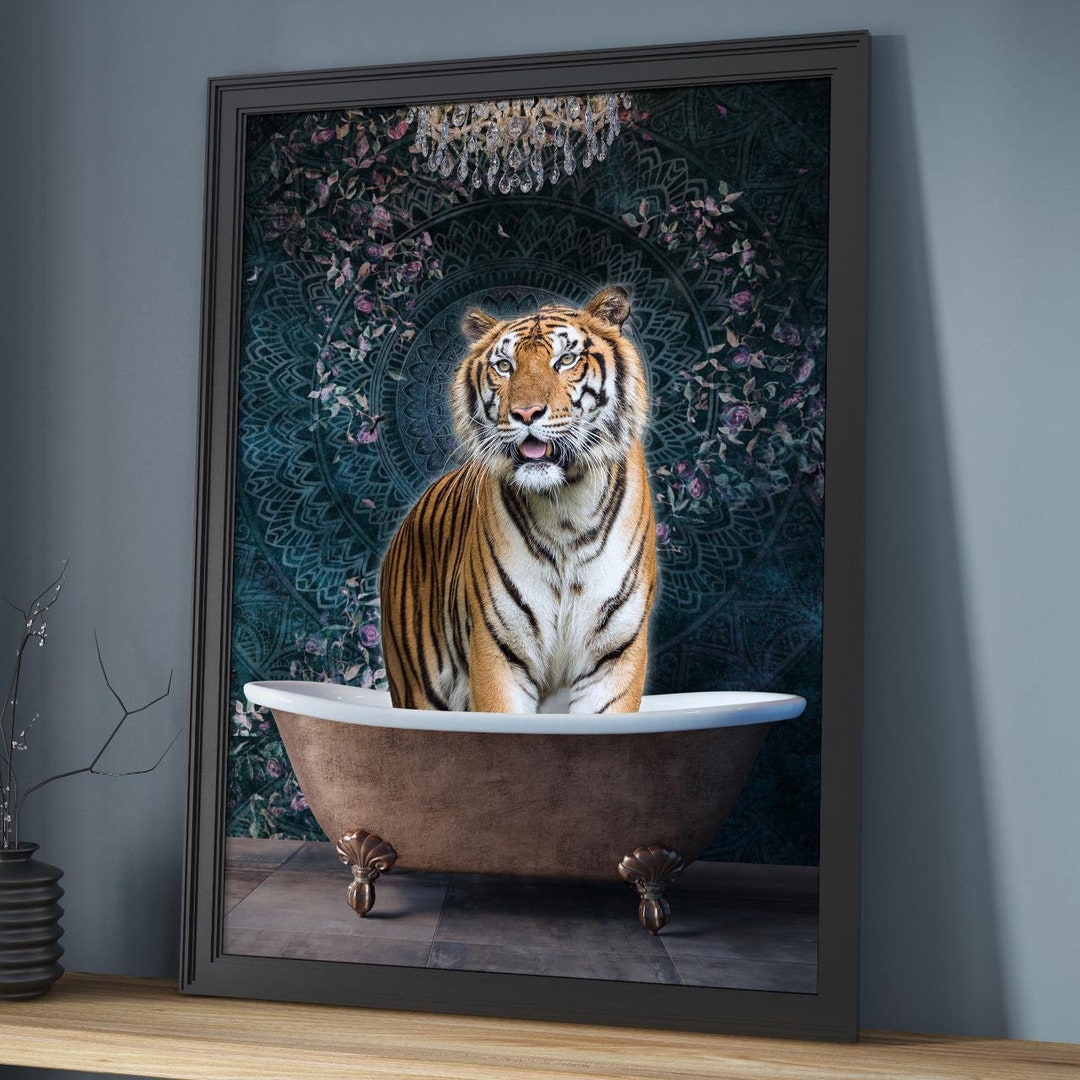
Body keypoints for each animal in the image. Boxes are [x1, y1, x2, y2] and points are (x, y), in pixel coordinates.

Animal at [379, 285, 657, 715]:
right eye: (505, 365)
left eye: (566, 359)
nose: (525, 413)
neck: (565, 508)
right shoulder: (498, 650)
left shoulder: (614, 653)